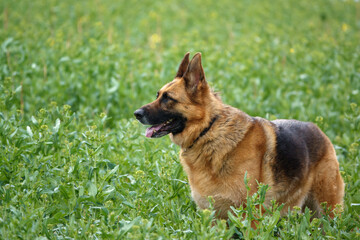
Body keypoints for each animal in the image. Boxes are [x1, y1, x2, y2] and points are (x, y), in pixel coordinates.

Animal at [134, 52, 344, 219]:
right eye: (157, 95)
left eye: (168, 98)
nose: (136, 113)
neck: (208, 130)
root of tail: (318, 129)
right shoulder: (214, 218)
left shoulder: (250, 217)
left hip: (326, 211)